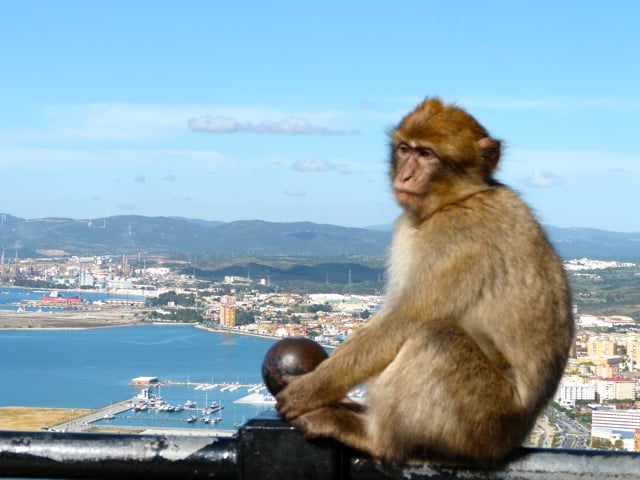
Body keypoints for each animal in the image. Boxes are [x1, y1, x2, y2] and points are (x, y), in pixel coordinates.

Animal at [275, 97, 574, 464]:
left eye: (427, 154)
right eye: (405, 149)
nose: (406, 174)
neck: (460, 198)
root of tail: (512, 440)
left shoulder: (455, 240)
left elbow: (403, 321)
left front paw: (309, 389)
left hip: (481, 421)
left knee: (436, 338)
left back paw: (377, 439)